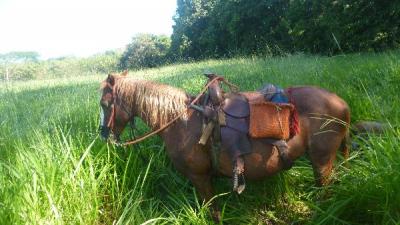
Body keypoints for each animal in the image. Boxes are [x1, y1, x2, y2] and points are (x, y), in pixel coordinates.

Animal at [100, 72, 350, 221]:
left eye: (104, 104)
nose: (104, 134)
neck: (180, 121)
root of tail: (341, 103)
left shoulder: (200, 178)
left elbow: (214, 212)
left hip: (321, 160)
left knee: (324, 192)